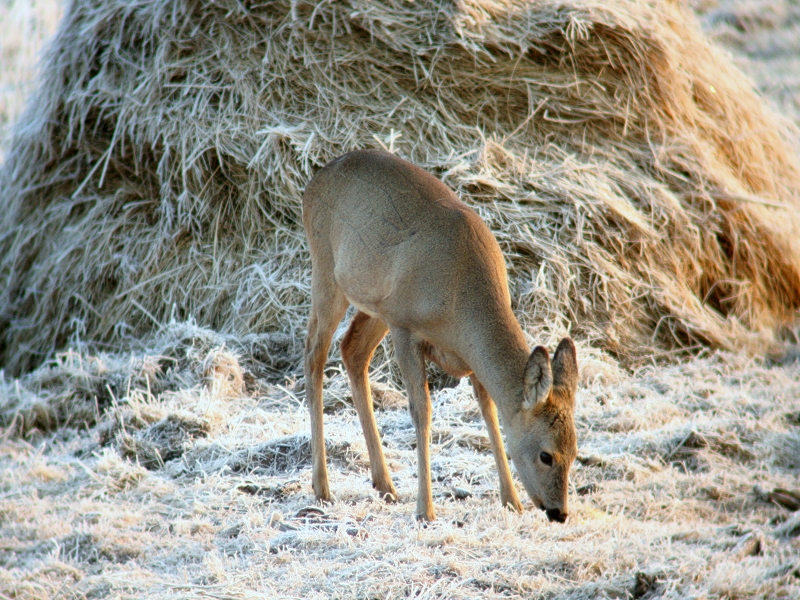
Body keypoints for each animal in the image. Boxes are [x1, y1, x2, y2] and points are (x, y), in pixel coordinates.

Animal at [304, 151, 580, 524]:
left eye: (575, 451)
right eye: (546, 455)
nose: (559, 512)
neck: (460, 298)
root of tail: (314, 180)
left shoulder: (468, 353)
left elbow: (489, 410)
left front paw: (511, 500)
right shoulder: (406, 327)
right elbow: (422, 410)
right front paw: (426, 510)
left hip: (376, 304)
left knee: (352, 350)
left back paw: (384, 484)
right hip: (327, 273)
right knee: (314, 355)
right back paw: (323, 488)